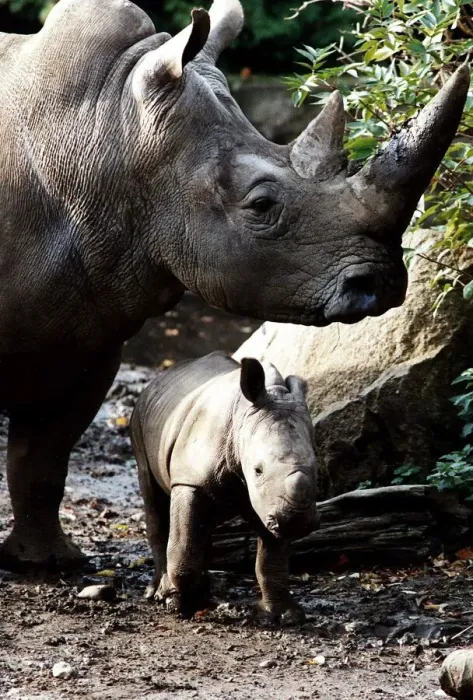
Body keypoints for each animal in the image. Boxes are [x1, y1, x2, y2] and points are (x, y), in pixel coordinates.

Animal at [0, 0, 468, 571]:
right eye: (261, 206)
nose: (382, 285)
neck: (112, 130)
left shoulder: (91, 327)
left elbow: (45, 453)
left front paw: (48, 564)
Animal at [130, 351, 319, 620]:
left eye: (317, 469)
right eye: (258, 470)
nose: (297, 521)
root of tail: (158, 379)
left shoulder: (270, 499)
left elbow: (272, 557)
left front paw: (285, 616)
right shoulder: (189, 481)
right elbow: (183, 546)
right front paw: (178, 606)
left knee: (201, 526)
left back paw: (202, 593)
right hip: (140, 421)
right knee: (154, 499)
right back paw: (158, 592)